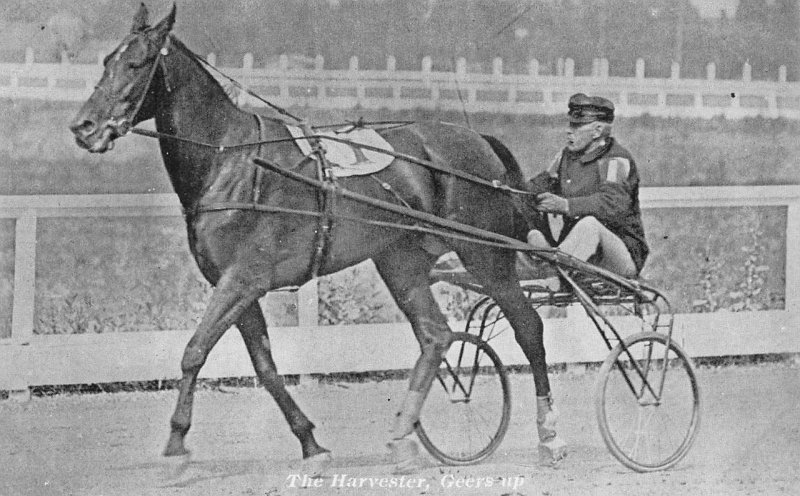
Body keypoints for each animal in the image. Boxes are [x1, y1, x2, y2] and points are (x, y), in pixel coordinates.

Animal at [70, 2, 568, 472]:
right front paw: (311, 444)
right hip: (399, 259)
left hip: (485, 254)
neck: (233, 162)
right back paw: (403, 440)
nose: (83, 127)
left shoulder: (242, 279)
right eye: (107, 60)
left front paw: (175, 446)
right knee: (435, 335)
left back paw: (549, 435)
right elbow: (266, 368)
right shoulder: (239, 287)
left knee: (529, 327)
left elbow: (194, 351)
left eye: (138, 62)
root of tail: (478, 139)